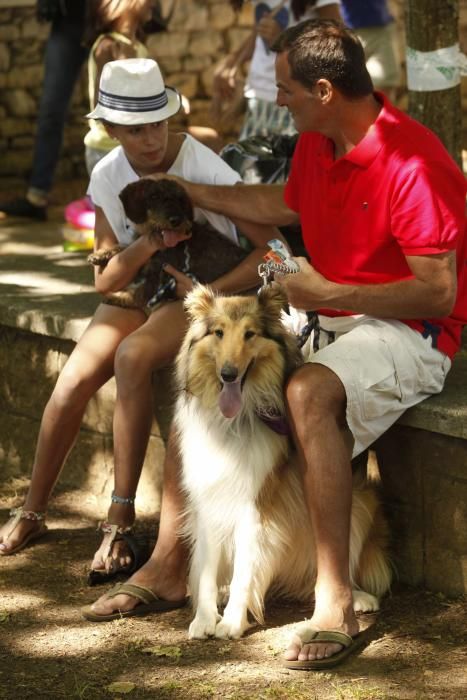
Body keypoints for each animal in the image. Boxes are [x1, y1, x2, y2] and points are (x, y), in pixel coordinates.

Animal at [87, 179, 249, 310]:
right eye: (154, 196)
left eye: (180, 199)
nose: (176, 220)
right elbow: (124, 247)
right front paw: (101, 254)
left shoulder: (160, 275)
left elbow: (139, 293)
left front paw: (117, 297)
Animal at [175, 284, 392, 640]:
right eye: (218, 332)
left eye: (250, 333)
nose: (228, 374)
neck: (235, 423)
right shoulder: (209, 497)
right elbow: (206, 569)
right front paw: (204, 619)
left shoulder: (256, 505)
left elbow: (245, 572)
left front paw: (231, 622)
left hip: (360, 503)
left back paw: (357, 598)